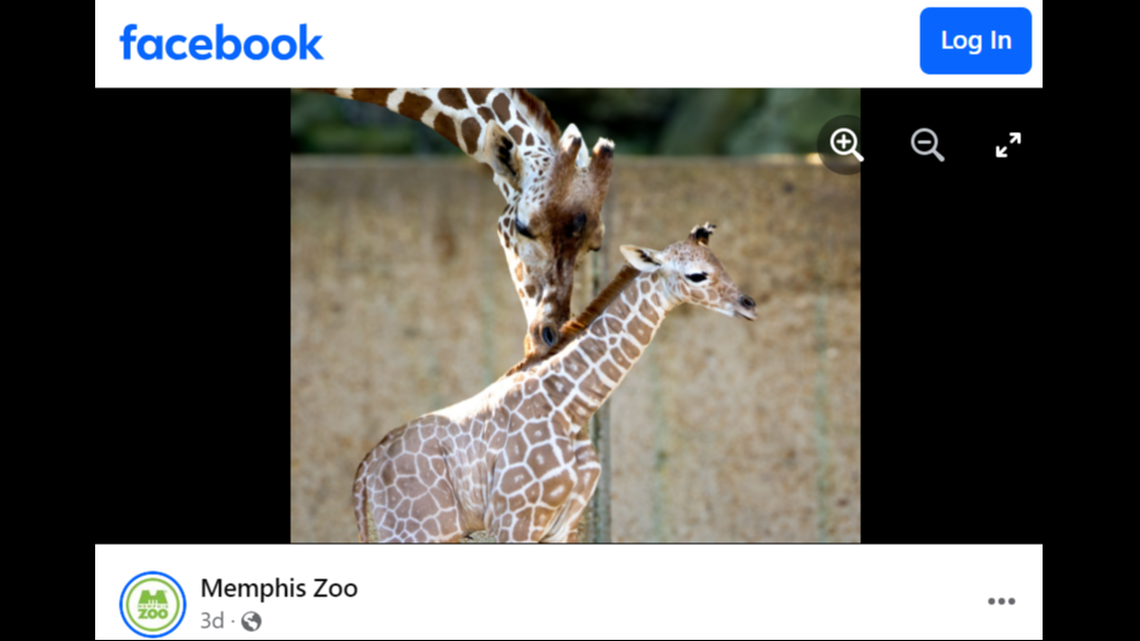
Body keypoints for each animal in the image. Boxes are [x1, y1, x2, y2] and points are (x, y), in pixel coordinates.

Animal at [353, 223, 758, 542]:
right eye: (696, 275)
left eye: (720, 264)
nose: (749, 305)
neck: (570, 407)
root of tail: (365, 473)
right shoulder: (514, 520)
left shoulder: (562, 527)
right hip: (417, 530)